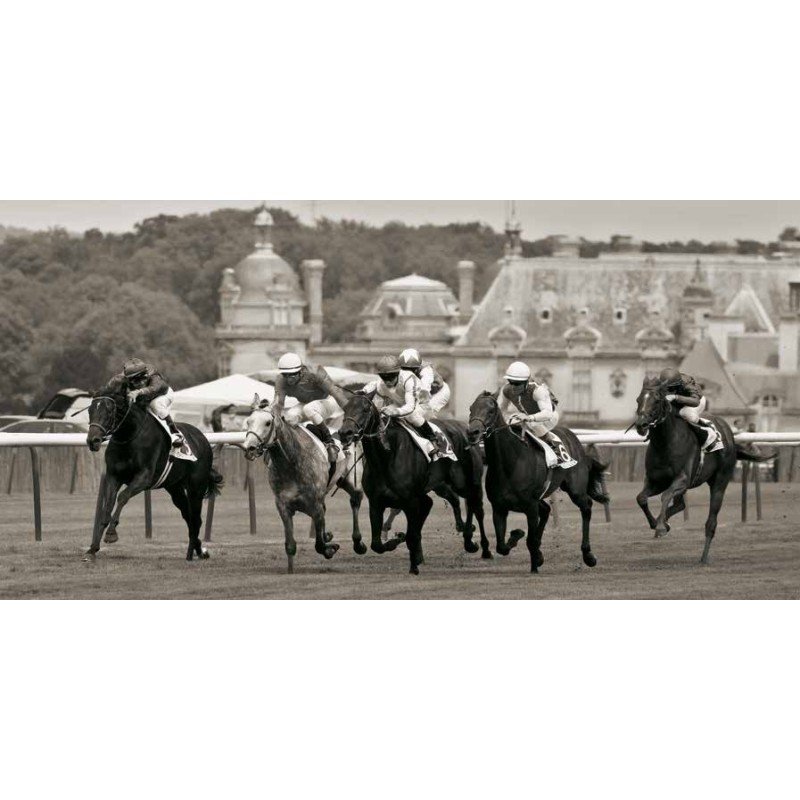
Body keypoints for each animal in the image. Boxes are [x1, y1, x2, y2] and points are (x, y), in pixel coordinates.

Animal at [85, 388, 223, 564]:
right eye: (90, 410)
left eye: (109, 411)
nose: (93, 440)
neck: (129, 435)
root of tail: (203, 438)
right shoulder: (113, 476)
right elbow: (107, 507)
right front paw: (92, 549)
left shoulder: (144, 477)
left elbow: (123, 496)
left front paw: (111, 534)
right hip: (175, 489)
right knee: (188, 517)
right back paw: (199, 550)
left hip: (196, 488)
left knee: (196, 519)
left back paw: (190, 554)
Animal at [244, 396, 368, 572]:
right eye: (248, 421)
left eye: (267, 423)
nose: (249, 448)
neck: (291, 463)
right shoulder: (283, 506)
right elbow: (290, 545)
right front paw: (290, 570)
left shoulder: (315, 505)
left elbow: (319, 544)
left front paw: (330, 549)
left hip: (352, 482)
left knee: (355, 501)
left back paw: (358, 543)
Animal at [336, 390, 488, 572]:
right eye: (345, 408)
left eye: (365, 409)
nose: (345, 433)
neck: (386, 457)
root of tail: (467, 429)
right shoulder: (376, 502)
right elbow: (377, 544)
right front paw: (397, 540)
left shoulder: (410, 501)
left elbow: (411, 535)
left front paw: (410, 557)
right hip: (437, 486)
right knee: (438, 502)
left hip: (465, 482)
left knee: (472, 503)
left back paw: (472, 541)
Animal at [462, 390, 608, 572]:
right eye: (470, 409)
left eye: (490, 411)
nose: (472, 433)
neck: (510, 463)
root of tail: (574, 438)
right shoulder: (499, 508)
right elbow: (501, 546)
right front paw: (521, 540)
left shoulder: (530, 507)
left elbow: (529, 539)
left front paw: (534, 567)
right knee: (546, 510)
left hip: (575, 489)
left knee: (586, 507)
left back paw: (588, 555)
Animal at [636, 376, 772, 564]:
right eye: (638, 400)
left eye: (656, 401)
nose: (640, 425)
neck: (666, 444)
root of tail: (730, 434)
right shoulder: (655, 481)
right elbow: (641, 498)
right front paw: (656, 523)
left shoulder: (682, 479)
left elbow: (665, 496)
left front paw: (661, 527)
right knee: (680, 504)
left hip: (720, 482)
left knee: (711, 522)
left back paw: (704, 557)